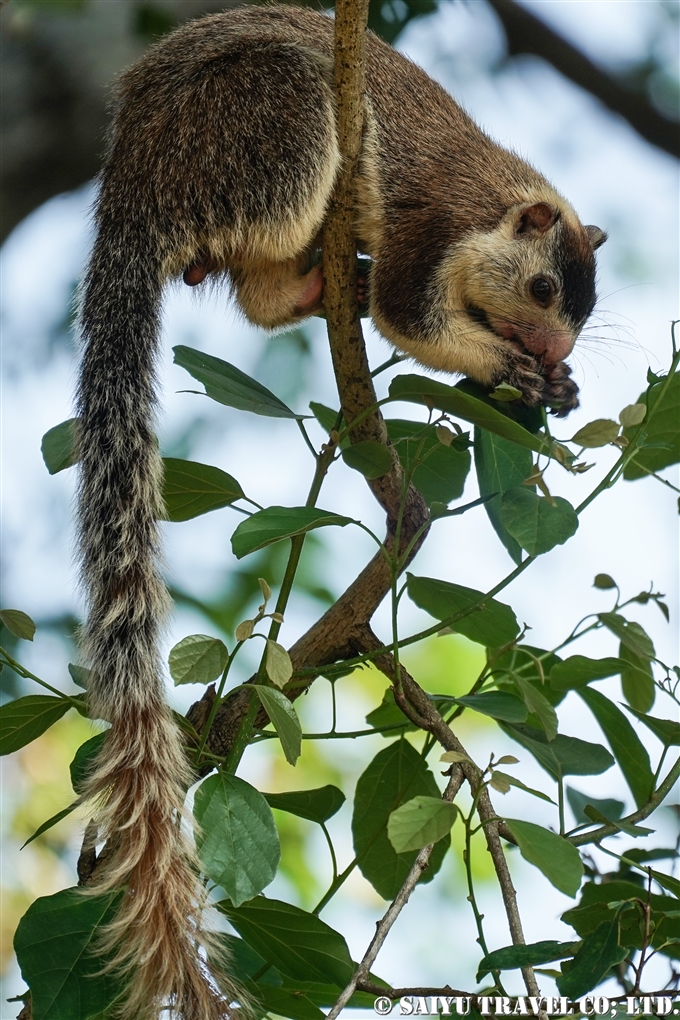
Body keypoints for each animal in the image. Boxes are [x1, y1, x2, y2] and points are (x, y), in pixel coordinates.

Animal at [75, 3, 607, 1015]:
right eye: (544, 289)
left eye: (586, 313)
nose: (558, 352)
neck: (490, 206)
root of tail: (129, 181)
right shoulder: (429, 229)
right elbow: (410, 315)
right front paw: (508, 367)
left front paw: (554, 387)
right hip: (271, 120)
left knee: (253, 288)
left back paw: (321, 285)